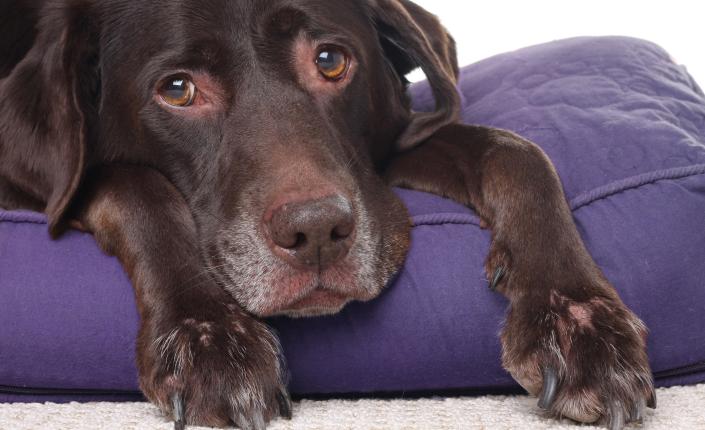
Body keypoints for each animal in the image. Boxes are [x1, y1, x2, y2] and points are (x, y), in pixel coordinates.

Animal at [0, 0, 656, 430]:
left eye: (331, 60)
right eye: (178, 89)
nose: (315, 231)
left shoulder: (392, 149)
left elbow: (517, 152)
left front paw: (577, 318)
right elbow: (136, 184)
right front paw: (207, 334)